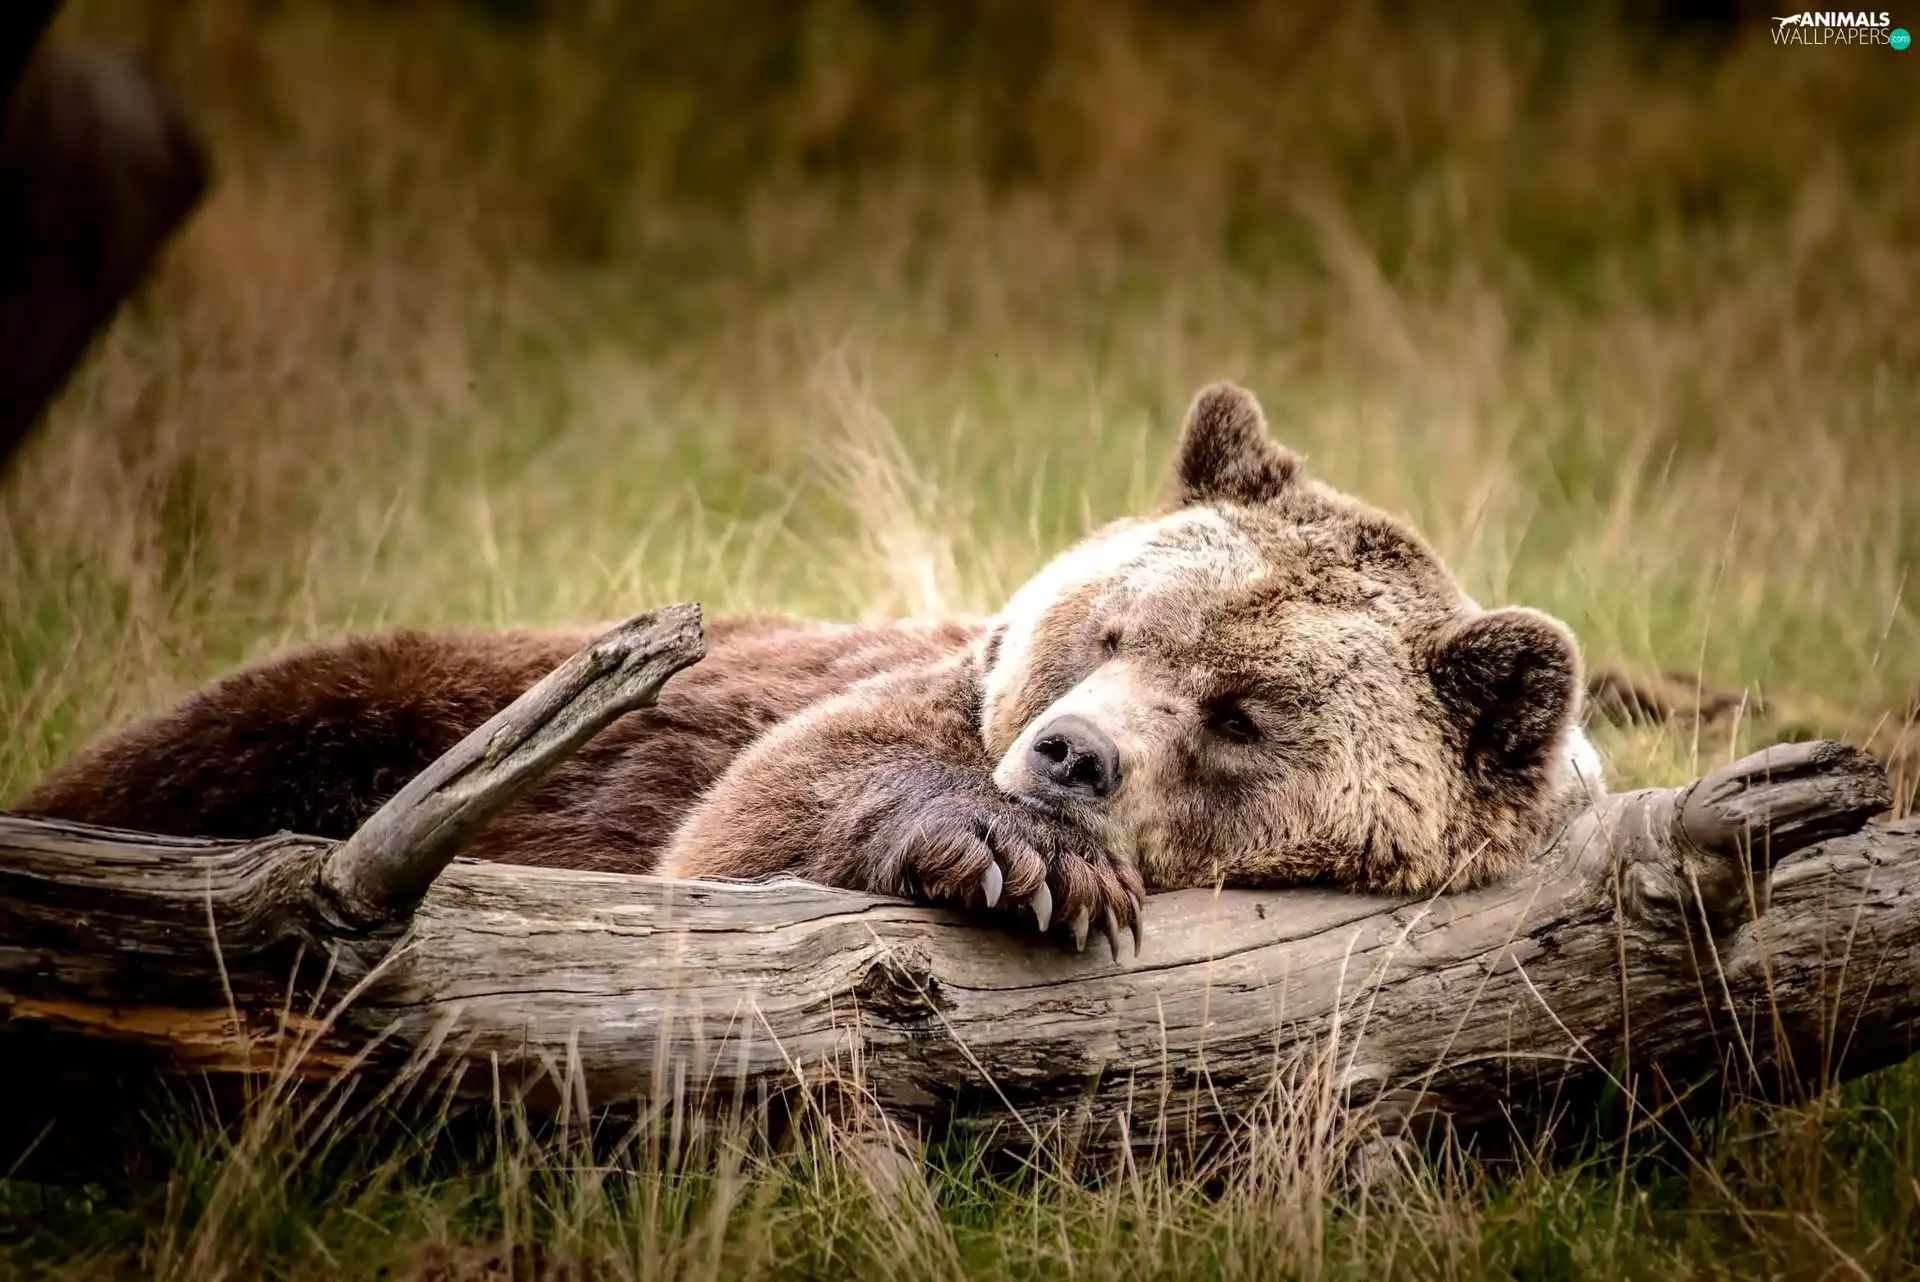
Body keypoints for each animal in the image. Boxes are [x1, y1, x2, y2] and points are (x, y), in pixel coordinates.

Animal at [13, 383, 1605, 956]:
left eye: (1246, 714)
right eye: (1112, 629)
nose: (1070, 756)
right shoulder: (874, 700)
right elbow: (763, 810)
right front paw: (1017, 856)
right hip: (362, 704)